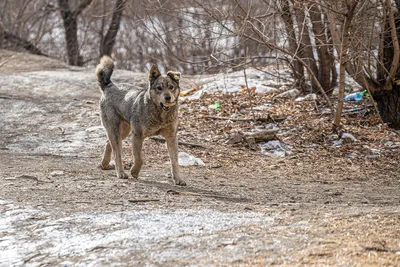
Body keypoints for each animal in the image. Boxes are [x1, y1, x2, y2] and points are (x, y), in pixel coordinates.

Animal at [95, 56, 186, 186]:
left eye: (171, 87)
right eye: (159, 88)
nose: (168, 98)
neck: (160, 114)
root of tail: (109, 86)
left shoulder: (171, 137)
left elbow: (174, 161)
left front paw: (178, 179)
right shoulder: (137, 135)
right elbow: (139, 158)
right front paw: (134, 171)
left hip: (123, 131)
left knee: (108, 143)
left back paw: (105, 164)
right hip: (116, 131)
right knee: (117, 153)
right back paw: (121, 173)